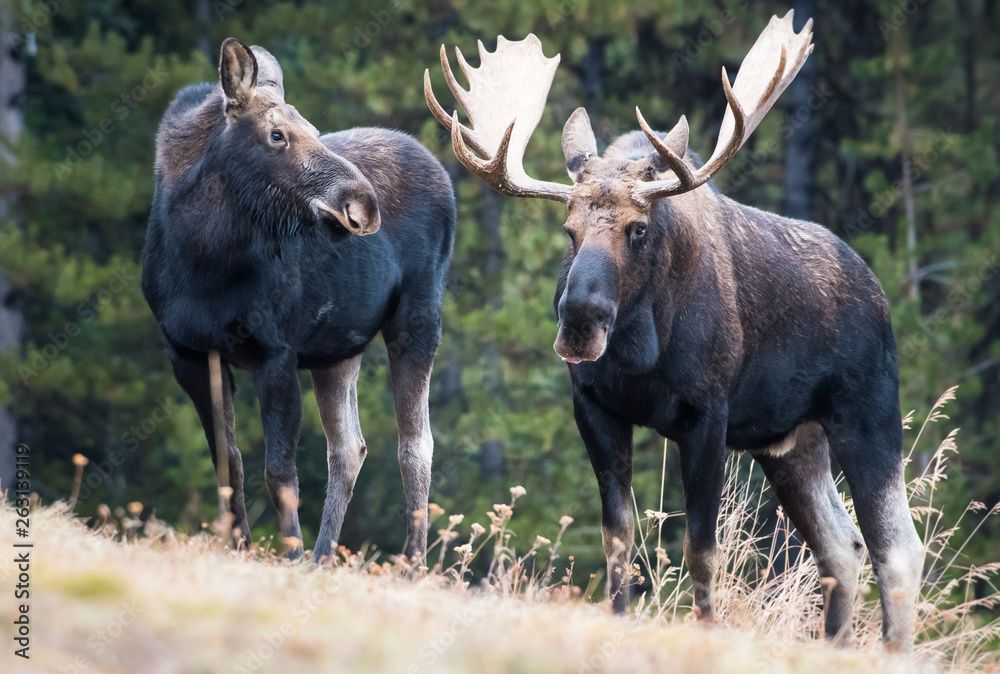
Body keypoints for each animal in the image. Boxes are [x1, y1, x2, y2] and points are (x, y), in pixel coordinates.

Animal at [142, 38, 455, 565]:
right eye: (277, 135)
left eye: (312, 128)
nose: (362, 204)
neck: (202, 257)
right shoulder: (187, 352)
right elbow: (228, 464)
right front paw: (241, 548)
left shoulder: (277, 351)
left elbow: (279, 474)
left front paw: (288, 556)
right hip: (338, 349)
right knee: (349, 447)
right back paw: (323, 557)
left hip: (418, 317)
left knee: (416, 444)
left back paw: (412, 565)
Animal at [424, 12, 923, 651]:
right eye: (568, 229)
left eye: (638, 228)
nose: (579, 321)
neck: (642, 353)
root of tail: (879, 291)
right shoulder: (595, 407)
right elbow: (618, 539)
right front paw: (617, 620)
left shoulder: (708, 415)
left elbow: (701, 550)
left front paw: (706, 631)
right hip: (792, 442)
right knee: (842, 545)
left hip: (867, 411)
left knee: (897, 549)